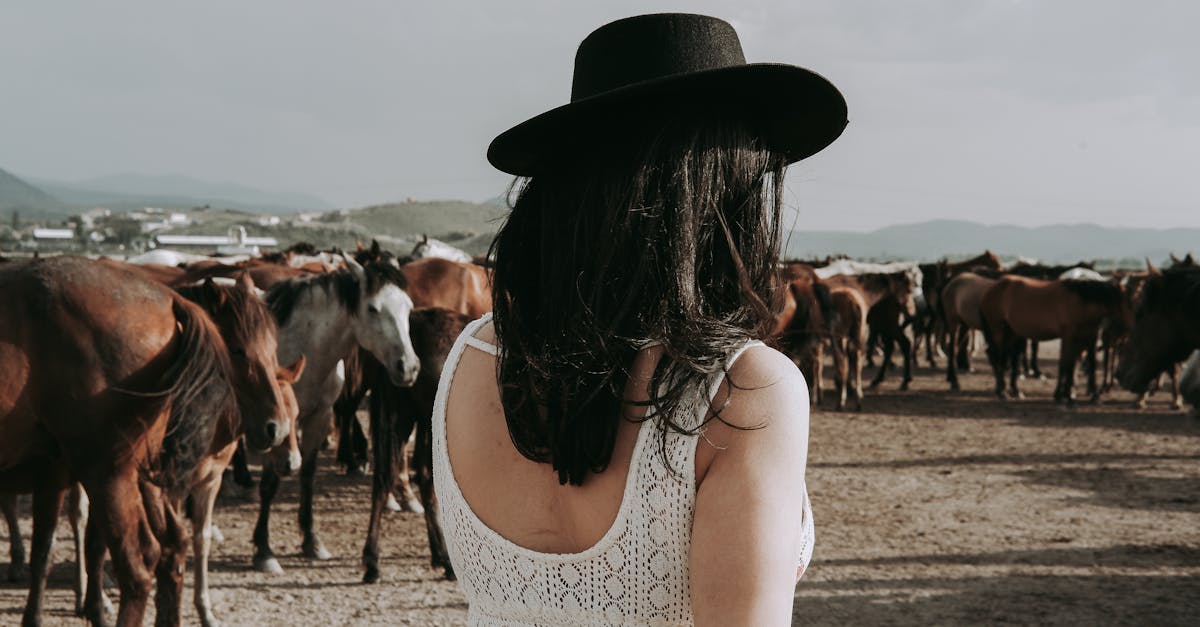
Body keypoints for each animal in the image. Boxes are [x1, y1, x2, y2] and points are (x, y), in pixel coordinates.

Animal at [0, 254, 238, 624]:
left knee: (138, 567)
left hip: (108, 472)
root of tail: (170, 300)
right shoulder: (49, 476)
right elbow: (44, 550)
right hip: (141, 475)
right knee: (171, 546)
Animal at [250, 252, 420, 571]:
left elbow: (307, 475)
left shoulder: (319, 417)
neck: (301, 347)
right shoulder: (272, 426)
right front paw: (264, 550)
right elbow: (269, 483)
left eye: (408, 307)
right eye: (373, 308)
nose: (408, 367)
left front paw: (311, 541)